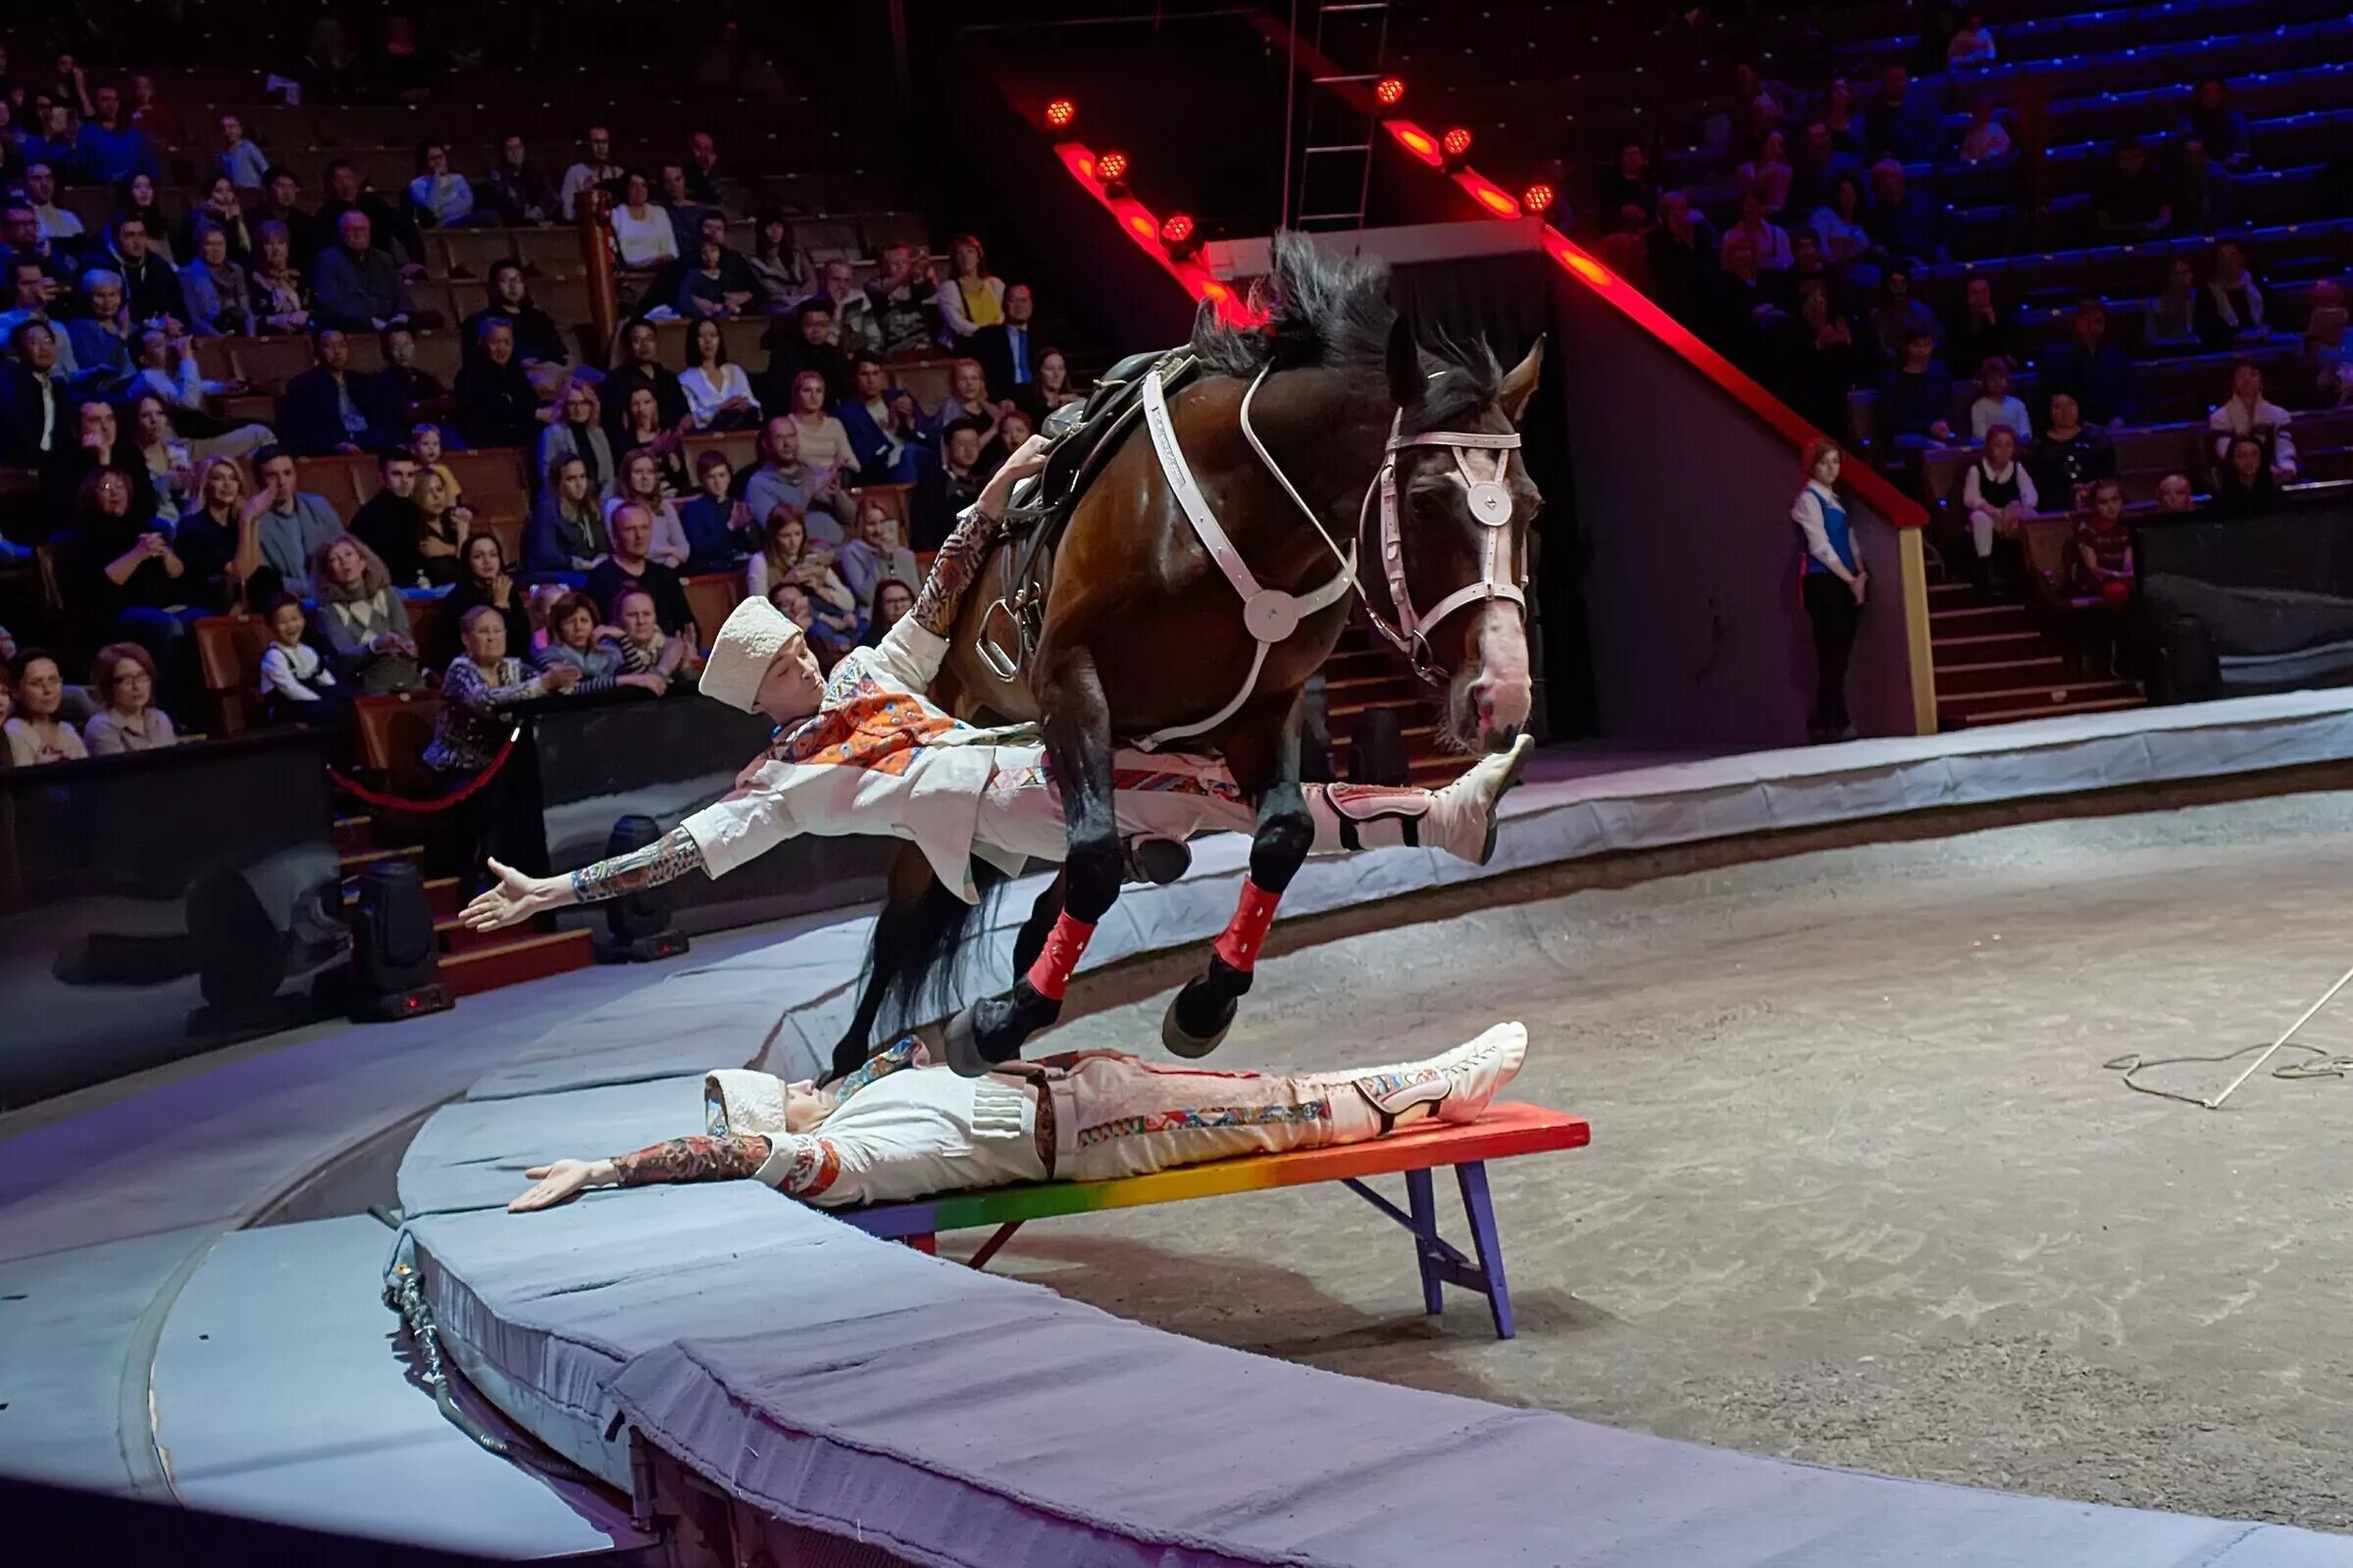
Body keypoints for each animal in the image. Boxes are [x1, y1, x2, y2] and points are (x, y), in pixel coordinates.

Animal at [828, 232, 1543, 1086]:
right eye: (1428, 503)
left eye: (1531, 506)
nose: (1501, 690)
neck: (1243, 505)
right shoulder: (1071, 681)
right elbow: (1094, 863)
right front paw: (1001, 1020)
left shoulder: (1265, 708)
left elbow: (1282, 836)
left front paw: (1203, 1000)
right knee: (908, 912)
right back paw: (851, 1057)